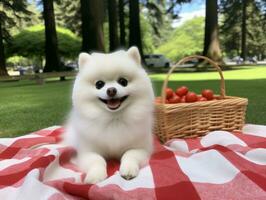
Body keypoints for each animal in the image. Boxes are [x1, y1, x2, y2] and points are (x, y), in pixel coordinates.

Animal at [64, 46, 154, 184]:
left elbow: (129, 154)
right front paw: (95, 175)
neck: (114, 118)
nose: (111, 90)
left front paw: (128, 169)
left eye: (123, 81)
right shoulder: (88, 152)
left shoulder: (141, 148)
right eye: (99, 84)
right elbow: (97, 160)